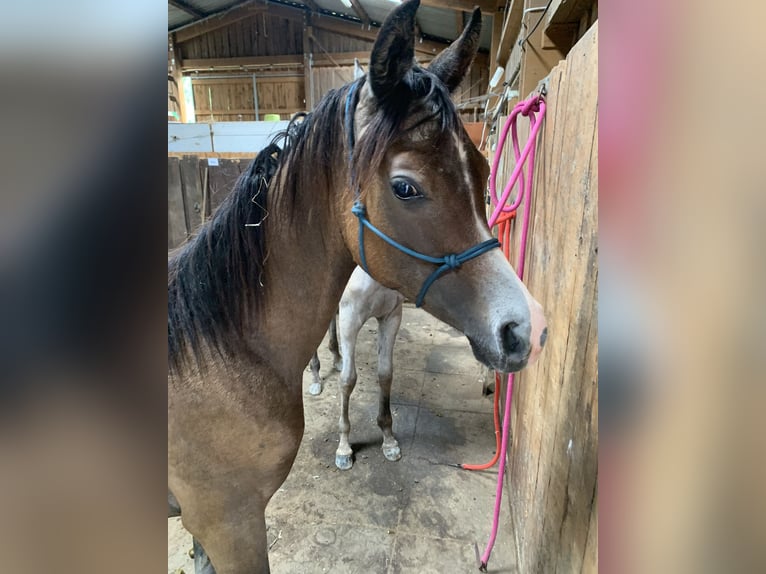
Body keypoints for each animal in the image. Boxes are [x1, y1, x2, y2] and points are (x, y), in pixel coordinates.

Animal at [170, 2, 544, 572]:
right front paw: (347, 444)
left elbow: (384, 374)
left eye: (482, 170)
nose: (523, 328)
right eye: (405, 187)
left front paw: (387, 437)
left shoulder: (391, 315)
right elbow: (349, 378)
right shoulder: (228, 524)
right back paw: (316, 375)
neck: (222, 353)